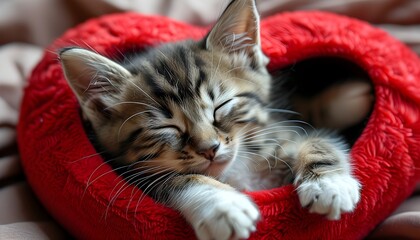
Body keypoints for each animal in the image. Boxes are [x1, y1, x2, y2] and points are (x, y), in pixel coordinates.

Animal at [59, 0, 360, 240]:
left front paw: (328, 184)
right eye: (167, 127)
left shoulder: (283, 132)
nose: (210, 148)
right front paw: (222, 205)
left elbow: (318, 138)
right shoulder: (133, 178)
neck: (235, 171)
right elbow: (179, 179)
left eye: (220, 107)